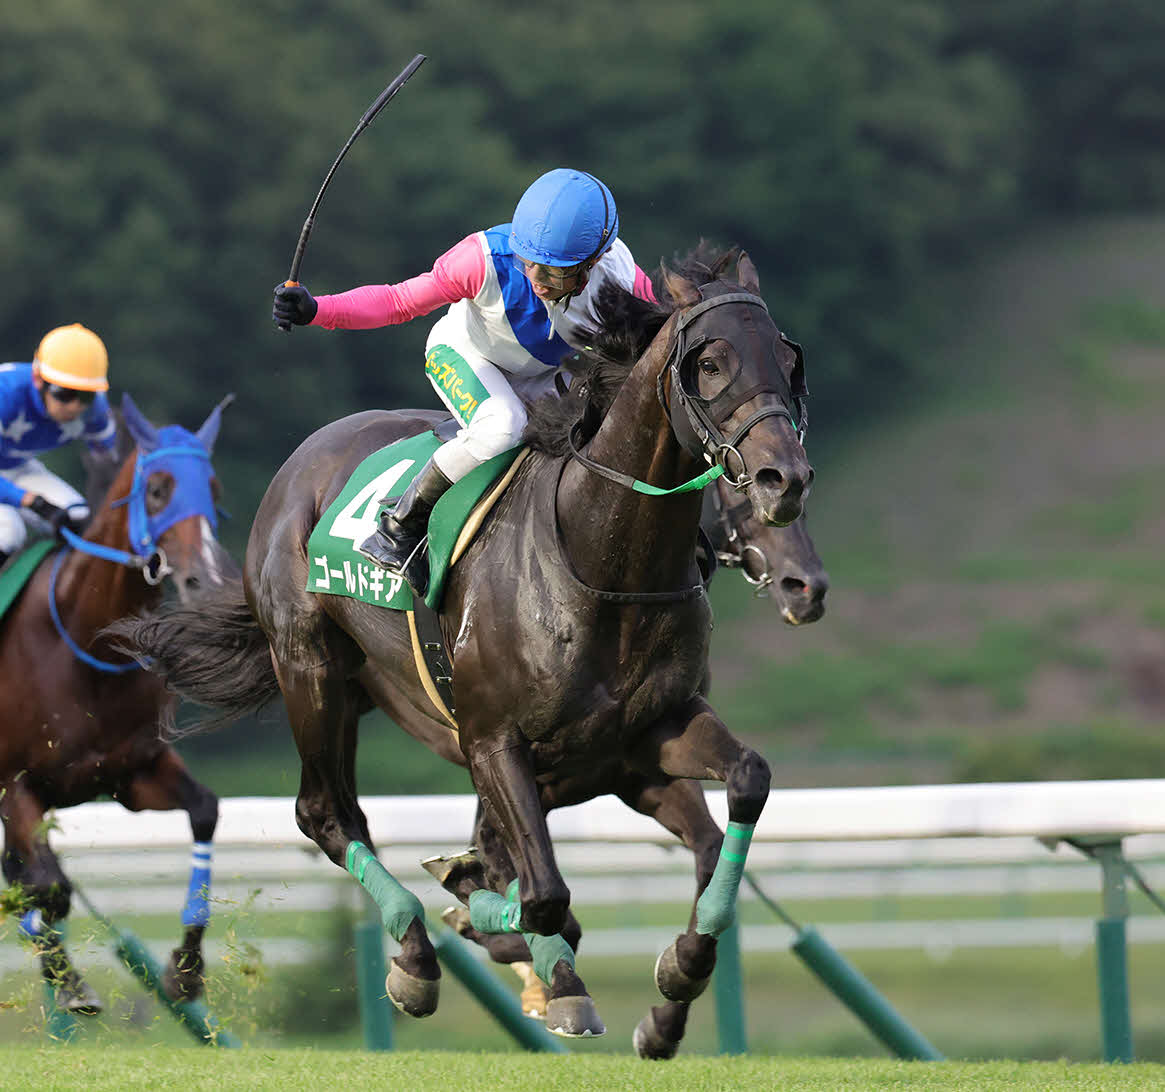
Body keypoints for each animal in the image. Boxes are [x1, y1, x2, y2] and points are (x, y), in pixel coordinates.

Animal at [0, 393, 233, 1014]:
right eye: (157, 488)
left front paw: (186, 970)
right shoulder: (14, 784)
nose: (206, 579)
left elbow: (205, 811)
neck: (85, 648)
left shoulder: (132, 773)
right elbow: (50, 885)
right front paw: (68, 982)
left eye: (213, 487)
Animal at [117, 245, 814, 1046]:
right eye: (709, 362)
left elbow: (742, 789)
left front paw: (677, 977)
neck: (602, 563)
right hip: (309, 668)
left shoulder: (647, 736)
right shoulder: (493, 740)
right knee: (325, 812)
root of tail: (303, 461)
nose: (784, 479)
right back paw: (417, 957)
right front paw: (519, 945)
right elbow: (538, 892)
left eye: (787, 359)